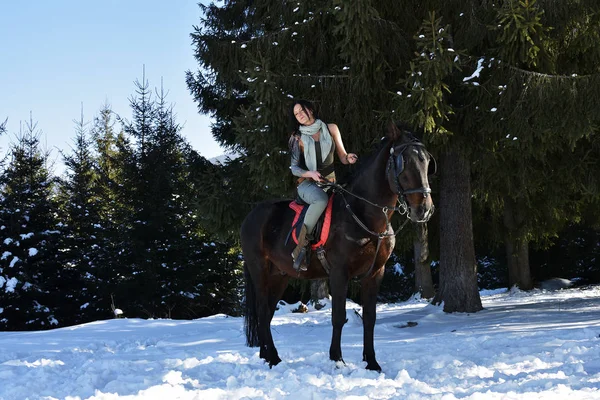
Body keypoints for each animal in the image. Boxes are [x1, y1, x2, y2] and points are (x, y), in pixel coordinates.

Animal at [240, 124, 436, 372]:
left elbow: (370, 317)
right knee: (263, 311)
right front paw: (337, 359)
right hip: (260, 271)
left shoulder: (375, 273)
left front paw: (372, 362)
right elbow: (338, 316)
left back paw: (267, 356)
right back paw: (273, 357)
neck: (363, 214)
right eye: (404, 161)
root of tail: (251, 217)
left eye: (427, 161)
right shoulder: (339, 273)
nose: (425, 209)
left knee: (265, 315)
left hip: (280, 275)